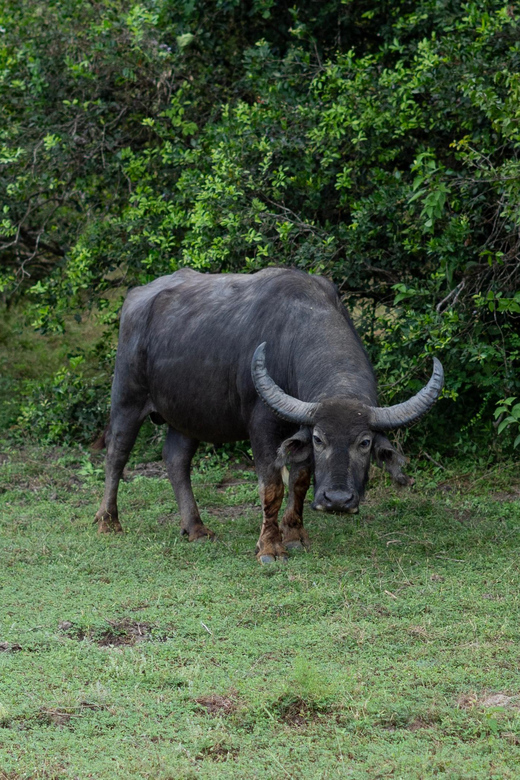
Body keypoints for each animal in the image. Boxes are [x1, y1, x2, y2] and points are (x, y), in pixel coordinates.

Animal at [94, 266, 442, 560]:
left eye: (365, 442)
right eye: (319, 439)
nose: (337, 501)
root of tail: (137, 296)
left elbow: (299, 481)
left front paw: (295, 535)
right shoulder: (262, 427)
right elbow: (272, 487)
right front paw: (270, 547)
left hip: (187, 416)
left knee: (176, 459)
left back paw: (196, 528)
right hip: (127, 397)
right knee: (116, 454)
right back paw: (108, 522)